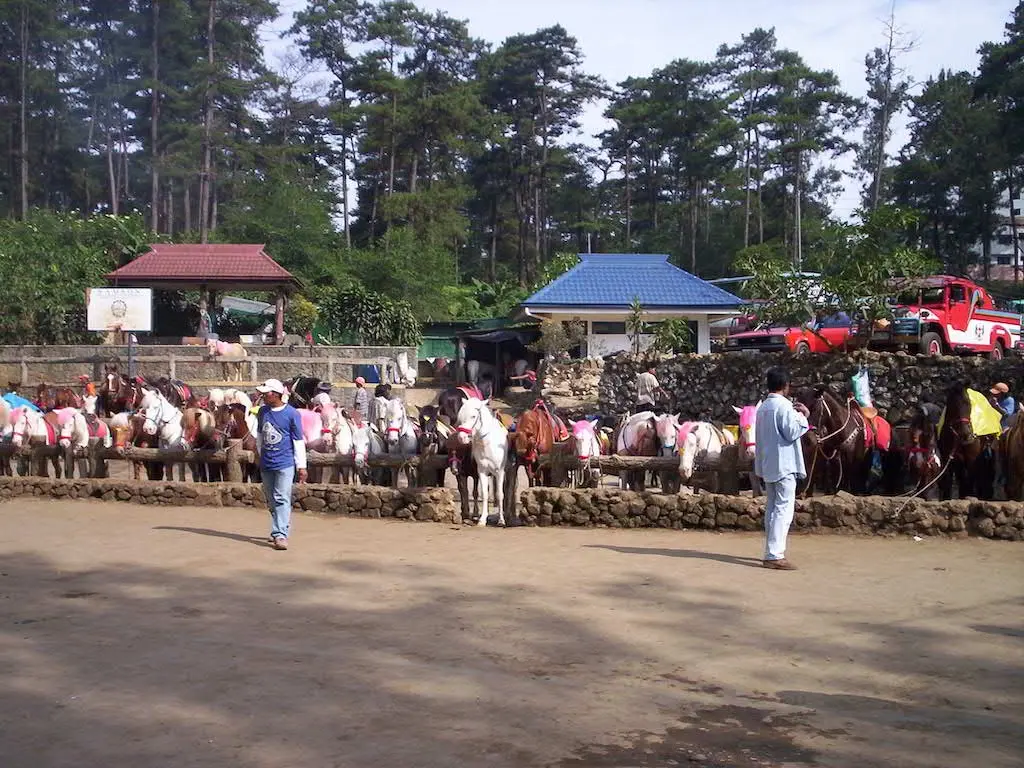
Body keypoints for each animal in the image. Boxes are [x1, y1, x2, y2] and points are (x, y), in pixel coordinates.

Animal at [454, 397, 509, 528]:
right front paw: (482, 519)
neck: (488, 443)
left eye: (473, 416)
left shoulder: (500, 472)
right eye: (460, 416)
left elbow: (500, 494)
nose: (462, 437)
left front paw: (501, 520)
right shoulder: (482, 471)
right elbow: (484, 493)